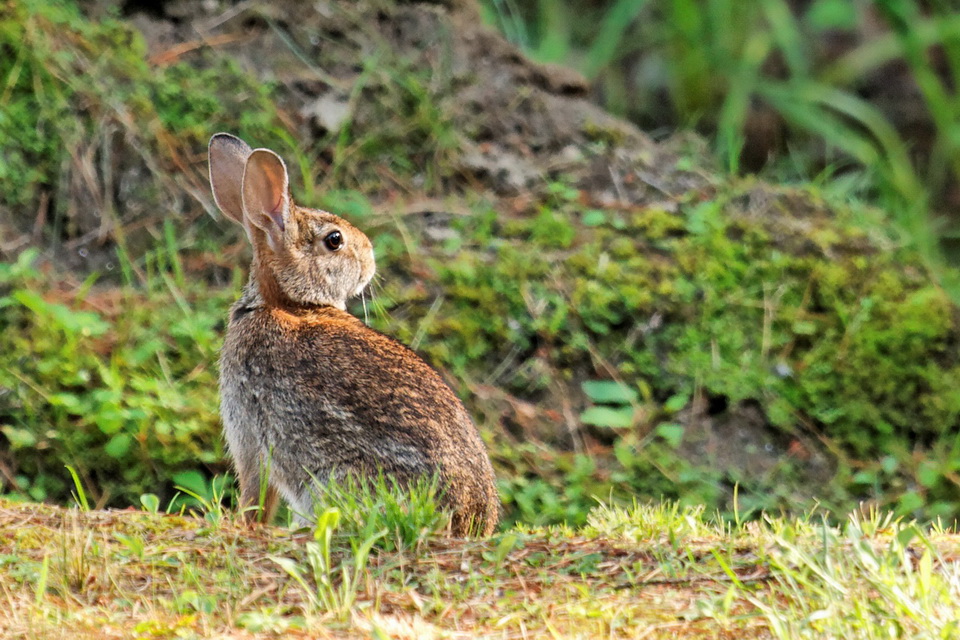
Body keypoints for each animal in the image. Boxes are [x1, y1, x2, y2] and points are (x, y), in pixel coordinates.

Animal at [207, 133, 499, 536]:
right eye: (335, 240)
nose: (370, 258)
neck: (288, 301)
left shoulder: (250, 437)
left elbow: (257, 497)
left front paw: (248, 526)